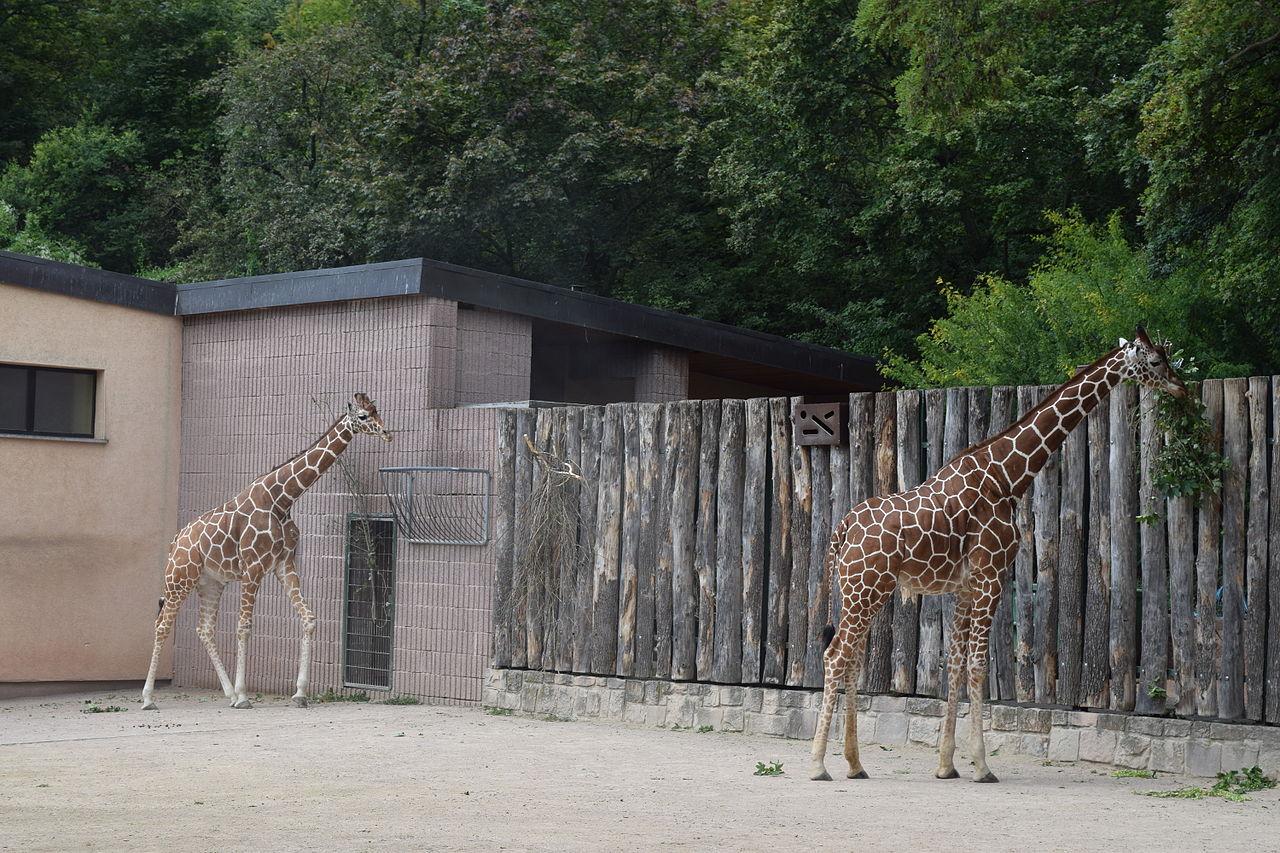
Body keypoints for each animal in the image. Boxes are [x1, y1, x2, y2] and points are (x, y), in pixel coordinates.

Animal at [140, 394, 389, 706]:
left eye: (377, 410)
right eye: (364, 416)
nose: (387, 433)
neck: (281, 500)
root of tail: (175, 541)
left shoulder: (284, 564)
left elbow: (309, 618)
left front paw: (299, 693)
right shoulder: (253, 566)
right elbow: (244, 627)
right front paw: (244, 695)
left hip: (211, 583)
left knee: (204, 629)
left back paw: (226, 692)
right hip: (179, 579)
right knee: (162, 625)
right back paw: (148, 698)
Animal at [808, 327, 1187, 778]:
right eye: (1156, 361)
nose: (1181, 388)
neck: (1007, 477)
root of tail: (842, 529)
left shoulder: (965, 587)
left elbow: (955, 664)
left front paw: (946, 765)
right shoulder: (992, 575)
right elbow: (978, 664)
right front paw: (981, 765)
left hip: (863, 591)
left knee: (851, 658)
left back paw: (854, 764)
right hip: (866, 588)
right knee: (834, 656)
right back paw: (818, 765)